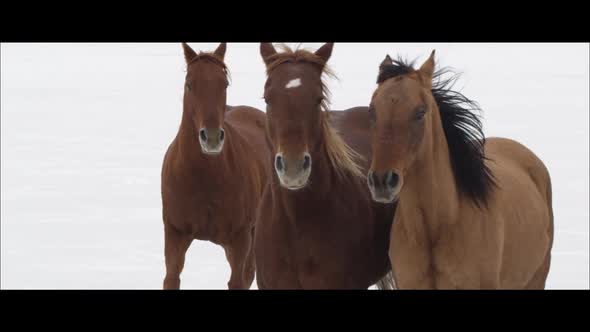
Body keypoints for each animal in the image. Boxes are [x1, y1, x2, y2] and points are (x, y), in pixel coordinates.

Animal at [162, 42, 272, 290]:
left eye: (224, 84)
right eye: (189, 84)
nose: (211, 138)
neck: (203, 177)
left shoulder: (239, 240)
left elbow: (237, 280)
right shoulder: (175, 235)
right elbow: (172, 278)